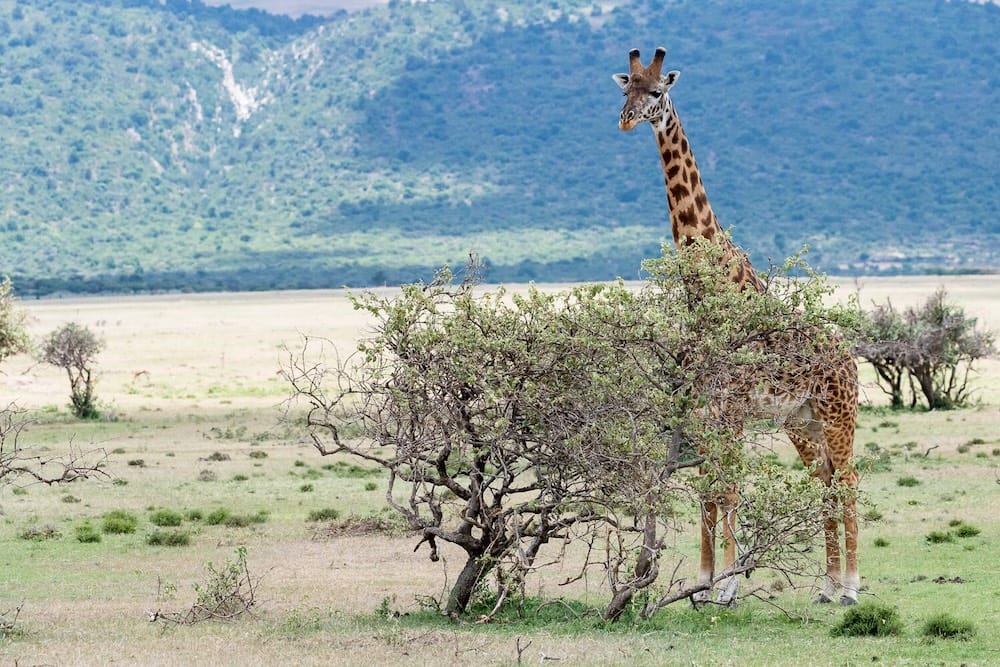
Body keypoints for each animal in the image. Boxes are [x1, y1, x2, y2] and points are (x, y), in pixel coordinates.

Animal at [616, 49, 860, 608]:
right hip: (803, 422)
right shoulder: (703, 407)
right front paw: (704, 580)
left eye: (657, 91)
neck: (708, 284)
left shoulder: (731, 408)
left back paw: (853, 588)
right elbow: (709, 487)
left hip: (840, 416)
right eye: (624, 89)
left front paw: (725, 586)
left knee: (850, 481)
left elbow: (728, 486)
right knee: (825, 481)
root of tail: (851, 358)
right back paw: (827, 586)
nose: (625, 121)